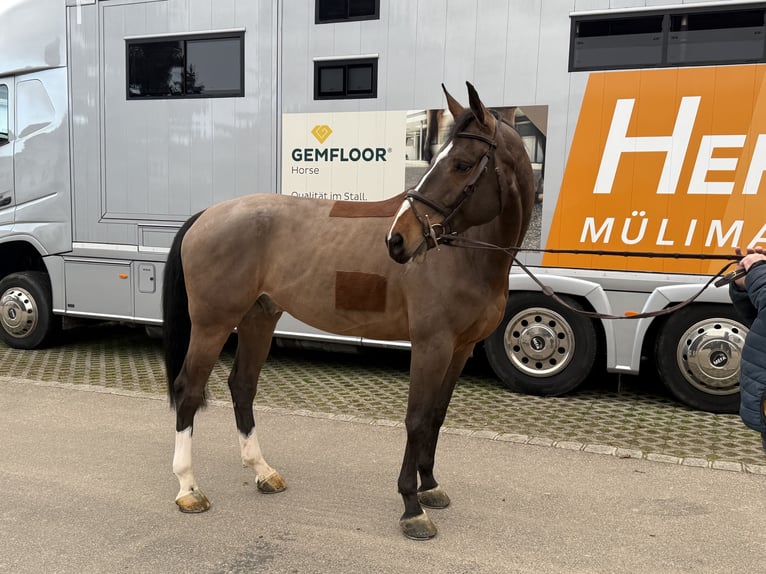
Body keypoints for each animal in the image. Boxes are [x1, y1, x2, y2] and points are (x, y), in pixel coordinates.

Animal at [162, 82, 535, 540]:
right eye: (437, 160)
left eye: (462, 164)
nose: (398, 239)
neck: (466, 255)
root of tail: (207, 214)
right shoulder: (432, 346)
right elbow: (416, 419)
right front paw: (412, 506)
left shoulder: (460, 349)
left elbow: (436, 416)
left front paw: (430, 486)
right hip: (213, 324)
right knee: (188, 390)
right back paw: (188, 488)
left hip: (258, 318)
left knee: (242, 386)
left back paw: (262, 471)